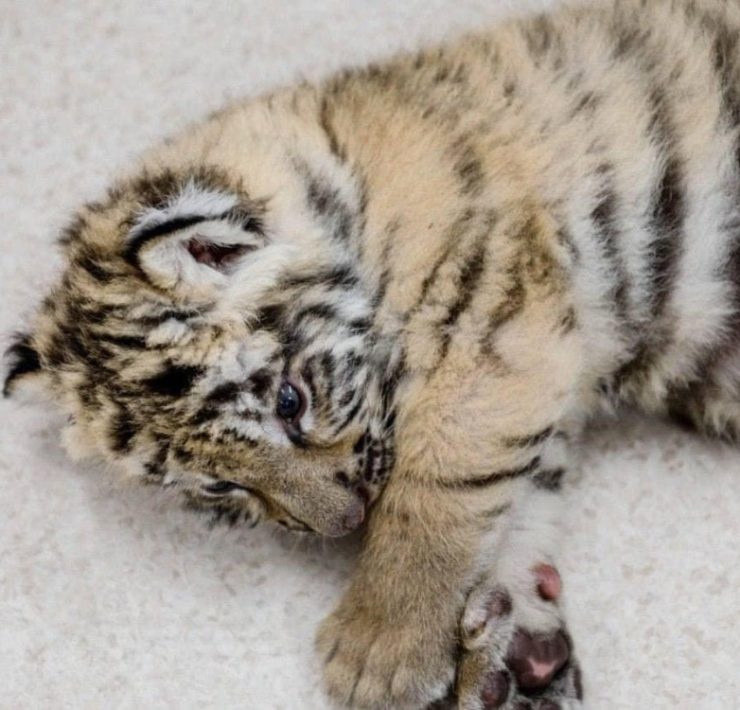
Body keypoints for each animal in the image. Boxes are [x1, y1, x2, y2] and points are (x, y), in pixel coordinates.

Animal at [4, 0, 740, 707]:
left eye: (290, 402)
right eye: (220, 485)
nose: (340, 525)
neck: (346, 198)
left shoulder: (491, 316)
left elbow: (441, 481)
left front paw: (381, 647)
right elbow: (521, 491)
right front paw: (515, 654)